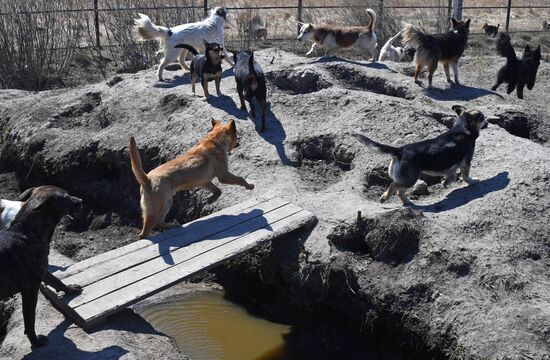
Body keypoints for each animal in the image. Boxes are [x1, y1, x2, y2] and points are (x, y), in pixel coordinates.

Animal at [0, 186, 84, 346]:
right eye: (66, 197)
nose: (81, 200)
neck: (25, 234)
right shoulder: (30, 290)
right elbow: (29, 319)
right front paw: (35, 341)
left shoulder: (41, 269)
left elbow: (56, 280)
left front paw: (70, 289)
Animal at [354, 105, 488, 205]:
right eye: (482, 118)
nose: (488, 122)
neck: (462, 128)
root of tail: (400, 150)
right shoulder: (466, 162)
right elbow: (465, 176)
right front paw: (472, 181)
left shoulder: (450, 168)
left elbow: (452, 177)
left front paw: (445, 183)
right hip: (410, 179)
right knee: (394, 186)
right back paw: (384, 197)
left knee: (399, 191)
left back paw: (407, 202)